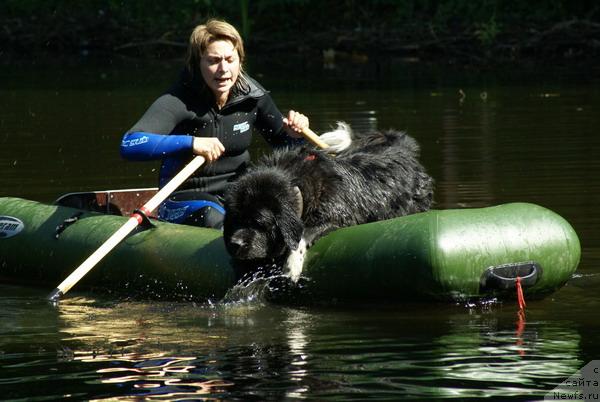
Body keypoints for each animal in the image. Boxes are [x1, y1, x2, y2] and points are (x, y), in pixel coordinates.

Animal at [223, 124, 434, 282]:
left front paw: (292, 265)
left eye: (259, 222)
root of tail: (401, 149)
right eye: (236, 219)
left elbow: (303, 234)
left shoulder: (336, 215)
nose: (235, 244)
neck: (297, 185)